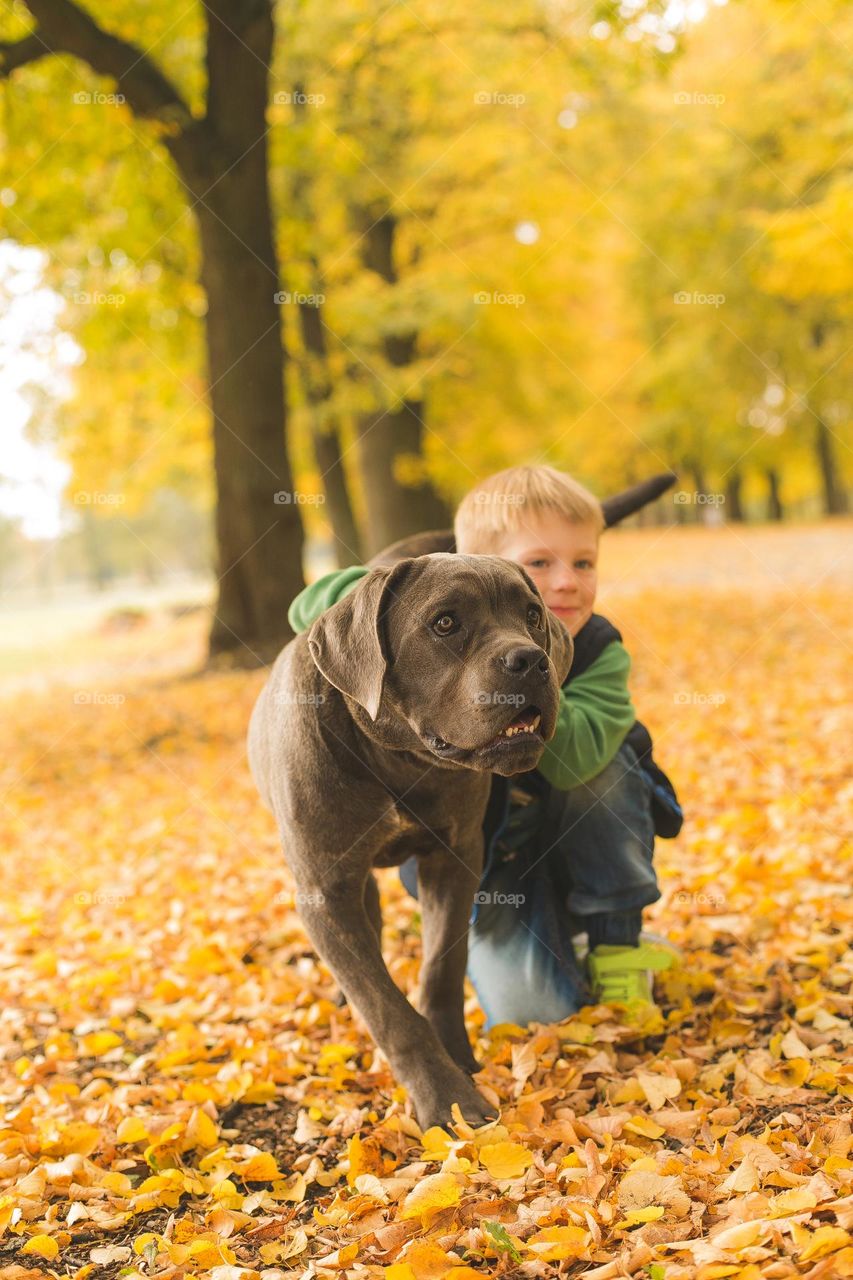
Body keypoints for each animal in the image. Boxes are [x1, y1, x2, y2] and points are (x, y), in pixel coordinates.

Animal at [245, 552, 571, 1131]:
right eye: (444, 623)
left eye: (533, 615)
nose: (533, 661)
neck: (396, 759)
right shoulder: (325, 893)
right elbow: (386, 1007)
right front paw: (446, 1099)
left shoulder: (456, 859)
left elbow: (442, 966)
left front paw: (460, 1059)